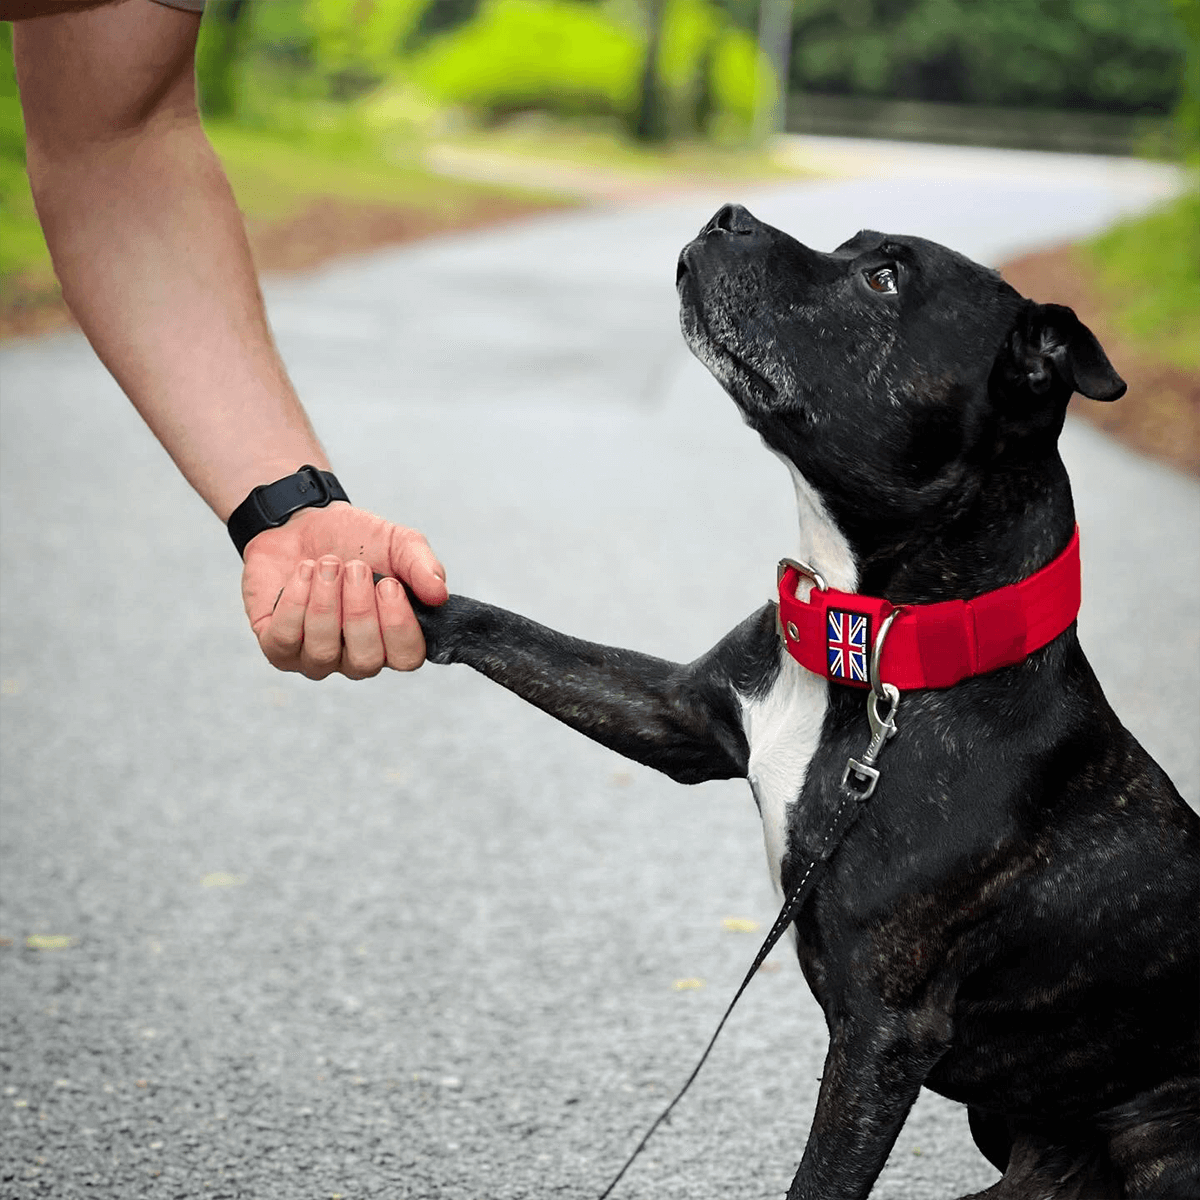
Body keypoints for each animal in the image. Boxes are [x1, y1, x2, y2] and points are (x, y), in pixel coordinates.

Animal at [408, 206, 1195, 1200]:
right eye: (855, 246)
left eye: (884, 280)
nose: (728, 214)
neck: (875, 649)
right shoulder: (679, 714)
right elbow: (520, 636)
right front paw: (381, 592)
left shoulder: (883, 1039)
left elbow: (819, 1179)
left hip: (1161, 1141)